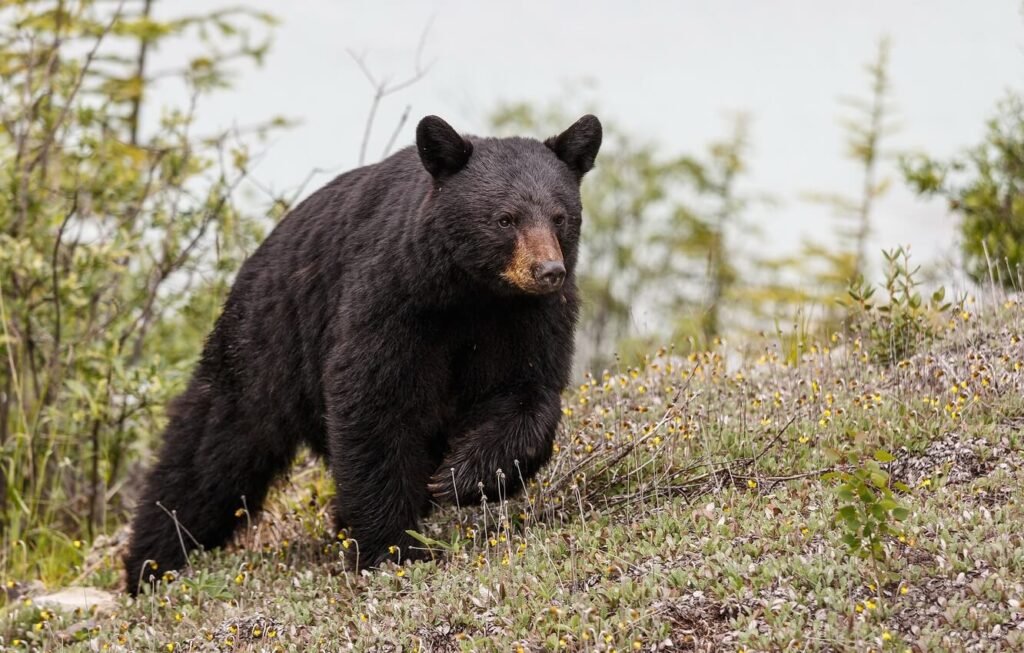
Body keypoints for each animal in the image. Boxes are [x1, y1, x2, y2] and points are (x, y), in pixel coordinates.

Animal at [125, 113, 598, 597]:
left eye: (560, 217)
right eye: (505, 219)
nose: (548, 271)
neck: (472, 295)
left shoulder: (531, 317)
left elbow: (529, 392)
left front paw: (462, 476)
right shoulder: (392, 297)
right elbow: (373, 403)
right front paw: (393, 549)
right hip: (266, 344)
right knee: (212, 452)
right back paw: (152, 562)